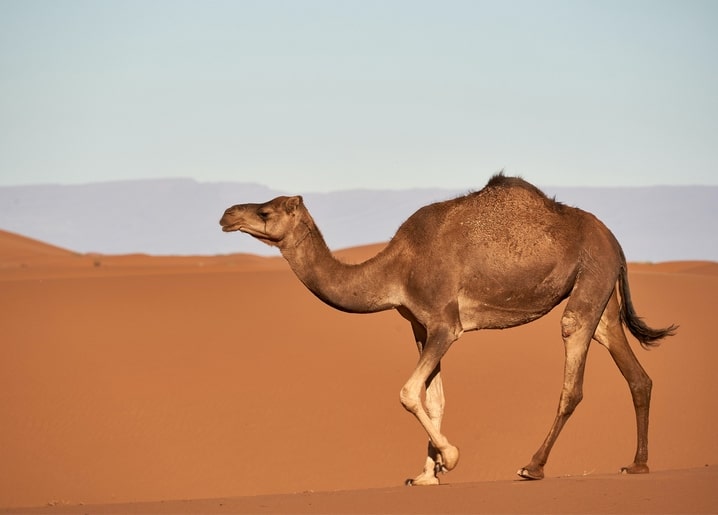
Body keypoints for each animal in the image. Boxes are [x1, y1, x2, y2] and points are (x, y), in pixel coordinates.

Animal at [219, 173, 676, 485]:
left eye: (265, 211)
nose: (226, 214)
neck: (396, 268)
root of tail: (615, 242)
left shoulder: (445, 323)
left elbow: (407, 392)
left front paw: (450, 458)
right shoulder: (420, 327)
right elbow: (433, 398)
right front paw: (427, 474)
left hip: (590, 278)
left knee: (572, 373)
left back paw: (532, 466)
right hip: (601, 293)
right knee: (634, 370)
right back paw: (637, 464)